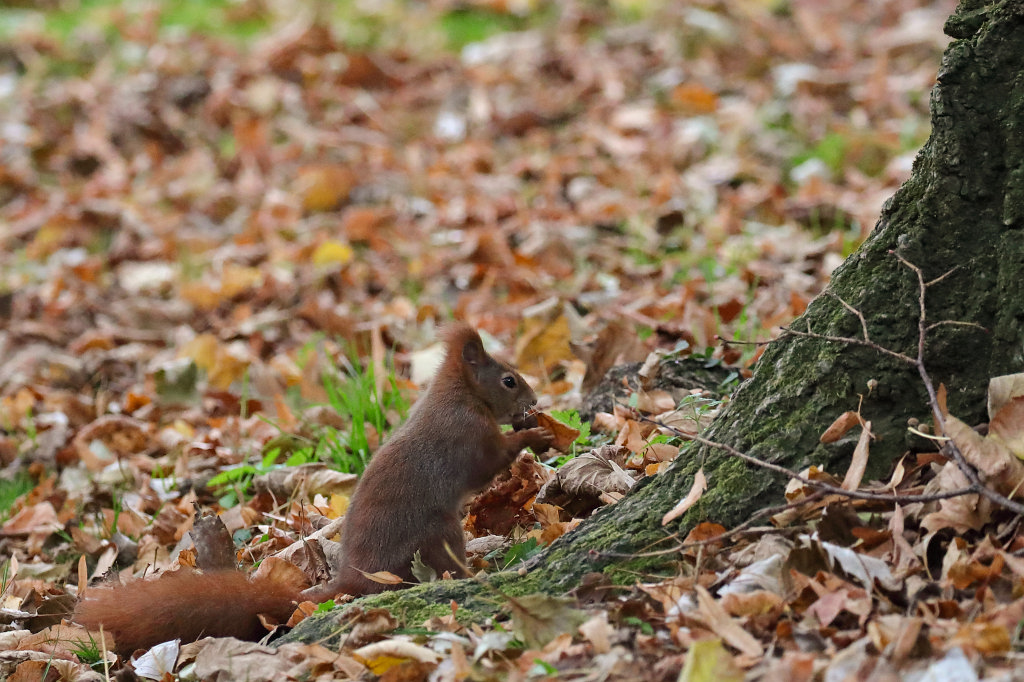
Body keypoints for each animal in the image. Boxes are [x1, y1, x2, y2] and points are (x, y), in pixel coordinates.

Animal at [74, 323, 554, 655]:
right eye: (509, 380)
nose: (534, 400)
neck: (461, 395)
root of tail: (355, 574)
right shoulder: (466, 437)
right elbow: (488, 465)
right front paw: (535, 435)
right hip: (437, 532)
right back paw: (480, 573)